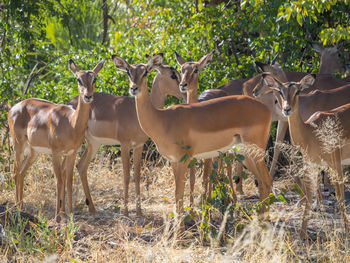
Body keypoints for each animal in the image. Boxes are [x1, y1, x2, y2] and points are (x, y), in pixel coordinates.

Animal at [7, 58, 104, 222]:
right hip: (18, 146)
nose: (88, 96)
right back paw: (17, 210)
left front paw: (69, 215)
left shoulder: (71, 153)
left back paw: (21, 208)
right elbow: (59, 180)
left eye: (94, 79)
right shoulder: (55, 153)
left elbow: (69, 181)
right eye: (78, 79)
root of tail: (14, 107)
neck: (71, 123)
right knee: (15, 172)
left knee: (21, 173)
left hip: (33, 152)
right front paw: (58, 217)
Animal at [66, 56, 185, 218]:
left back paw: (92, 209)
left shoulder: (138, 145)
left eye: (145, 72)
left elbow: (137, 176)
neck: (135, 113)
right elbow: (126, 176)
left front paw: (139, 212)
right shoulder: (124, 144)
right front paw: (127, 212)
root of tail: (69, 103)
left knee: (81, 166)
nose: (183, 92)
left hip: (93, 144)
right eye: (173, 75)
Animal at [112, 52, 274, 221]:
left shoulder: (184, 160)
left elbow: (179, 193)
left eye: (145, 72)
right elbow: (178, 195)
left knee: (267, 179)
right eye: (128, 72)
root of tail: (266, 108)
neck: (163, 119)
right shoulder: (173, 161)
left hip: (256, 151)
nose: (133, 88)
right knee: (261, 181)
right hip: (245, 153)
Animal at [262, 72, 350, 239]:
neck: (310, 133)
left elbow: (340, 197)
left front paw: (347, 231)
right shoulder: (312, 166)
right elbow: (309, 196)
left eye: (297, 91)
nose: (287, 109)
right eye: (281, 92)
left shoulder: (336, 165)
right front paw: (303, 235)